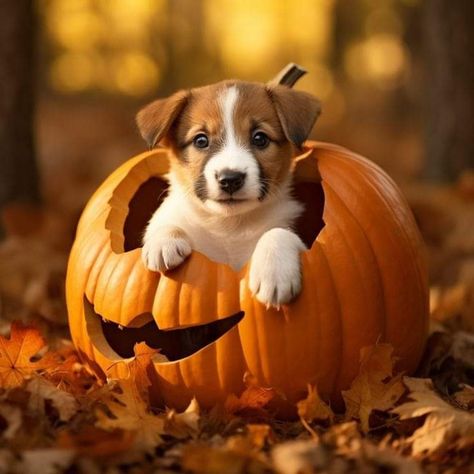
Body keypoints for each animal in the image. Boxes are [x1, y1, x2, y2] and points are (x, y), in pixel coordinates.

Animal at [135, 78, 320, 308]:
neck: (229, 226)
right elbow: (164, 221)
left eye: (260, 138)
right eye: (201, 140)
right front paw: (163, 240)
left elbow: (278, 232)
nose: (230, 179)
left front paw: (274, 272)